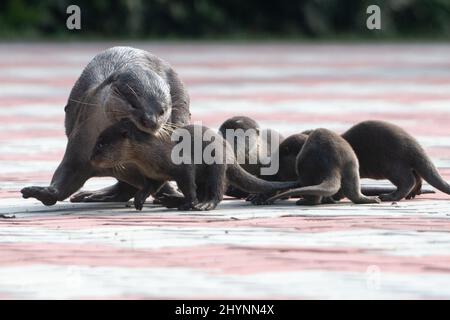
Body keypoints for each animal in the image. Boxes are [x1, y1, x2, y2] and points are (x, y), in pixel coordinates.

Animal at [20, 46, 190, 206]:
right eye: (134, 104)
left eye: (162, 110)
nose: (151, 121)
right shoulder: (80, 143)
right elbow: (67, 175)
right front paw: (41, 192)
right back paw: (95, 196)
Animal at [90, 119, 298, 210]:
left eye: (101, 144)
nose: (91, 158)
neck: (152, 153)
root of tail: (229, 152)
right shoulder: (153, 174)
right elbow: (149, 186)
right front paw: (139, 201)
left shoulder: (183, 166)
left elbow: (188, 184)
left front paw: (189, 203)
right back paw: (172, 201)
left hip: (217, 164)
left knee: (217, 188)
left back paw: (203, 204)